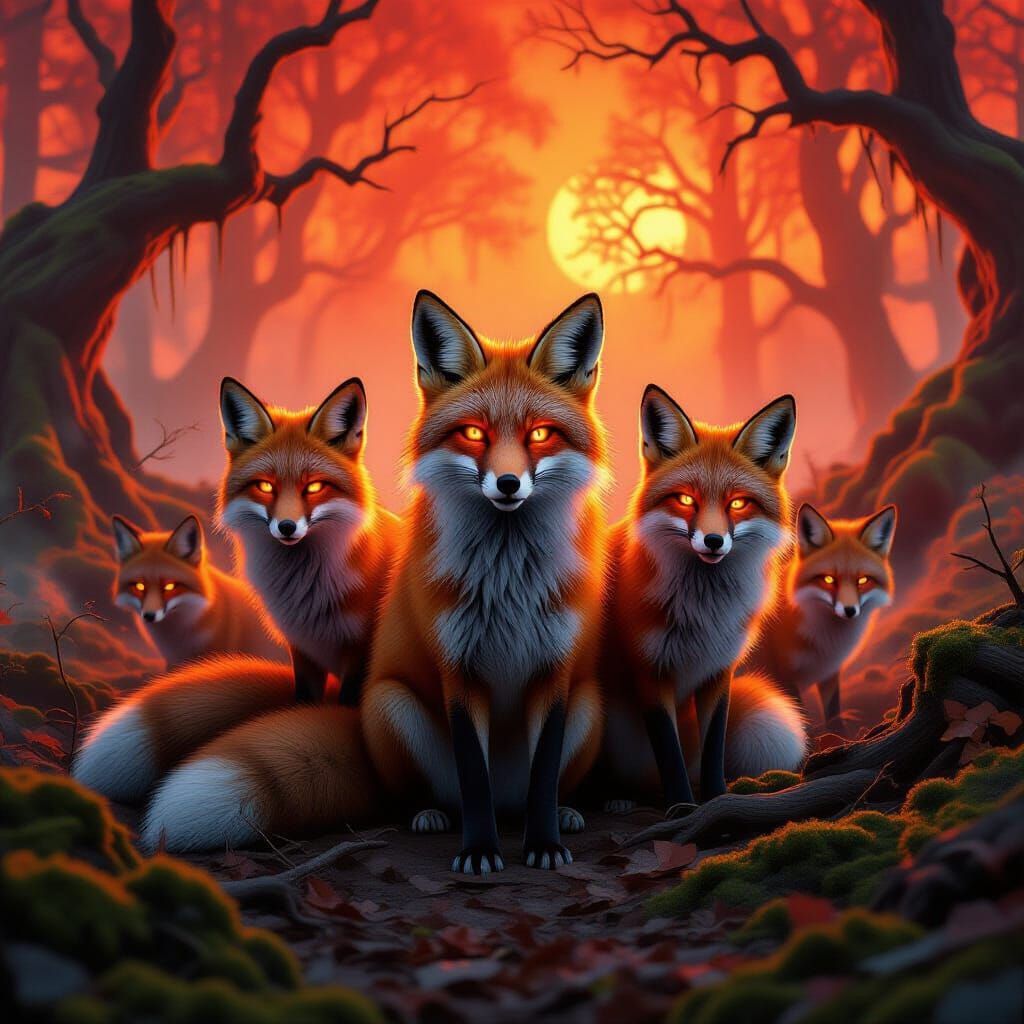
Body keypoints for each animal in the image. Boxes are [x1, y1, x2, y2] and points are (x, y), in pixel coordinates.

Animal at [138, 291, 611, 862]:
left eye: (540, 433)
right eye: (473, 433)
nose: (507, 483)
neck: (507, 585)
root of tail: (508, 804)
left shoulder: (555, 671)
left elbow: (544, 774)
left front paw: (543, 844)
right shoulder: (453, 666)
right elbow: (472, 775)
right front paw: (479, 852)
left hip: (588, 703)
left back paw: (563, 812)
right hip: (391, 703)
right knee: (432, 793)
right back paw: (430, 814)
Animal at [599, 385, 806, 812]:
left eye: (738, 503)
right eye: (685, 500)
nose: (713, 541)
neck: (703, 613)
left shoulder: (719, 670)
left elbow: (714, 747)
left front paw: (716, 797)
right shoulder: (651, 671)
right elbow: (669, 751)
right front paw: (681, 806)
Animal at [746, 503, 897, 733]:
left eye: (863, 580)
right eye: (828, 579)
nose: (850, 610)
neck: (825, 641)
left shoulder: (830, 671)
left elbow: (833, 712)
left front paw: (839, 736)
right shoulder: (783, 674)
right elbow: (799, 719)